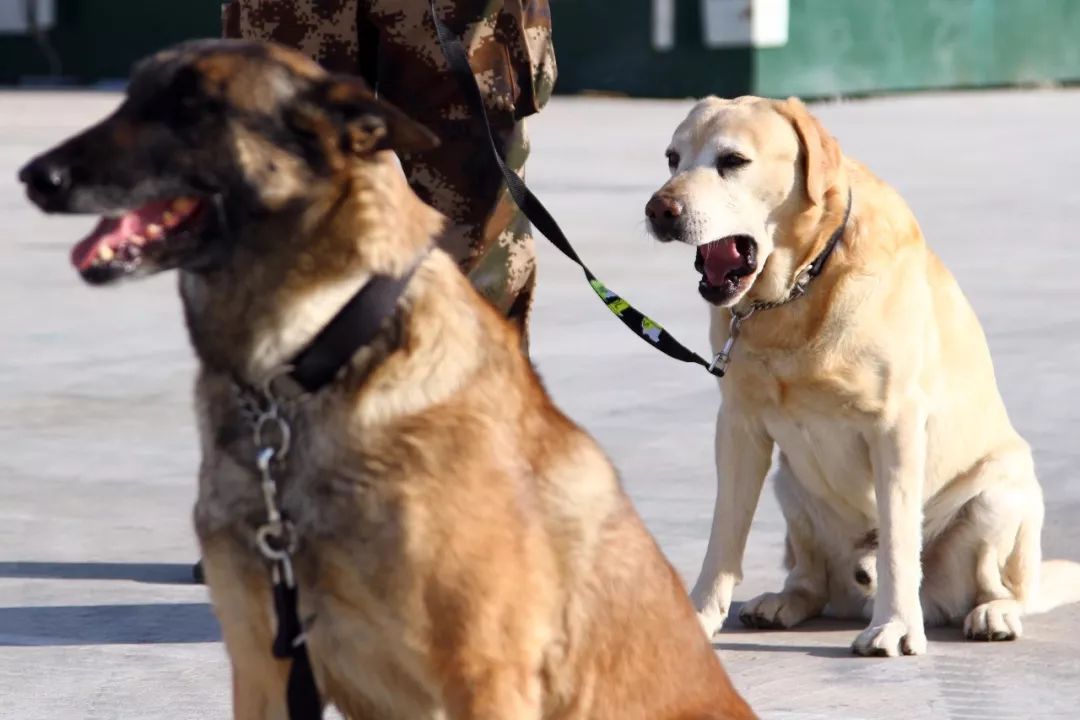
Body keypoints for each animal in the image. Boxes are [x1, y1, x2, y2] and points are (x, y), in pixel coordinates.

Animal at [21, 40, 756, 720]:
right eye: (128, 100)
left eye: (194, 105)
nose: (33, 176)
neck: (308, 364)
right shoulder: (263, 665)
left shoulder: (482, 673)